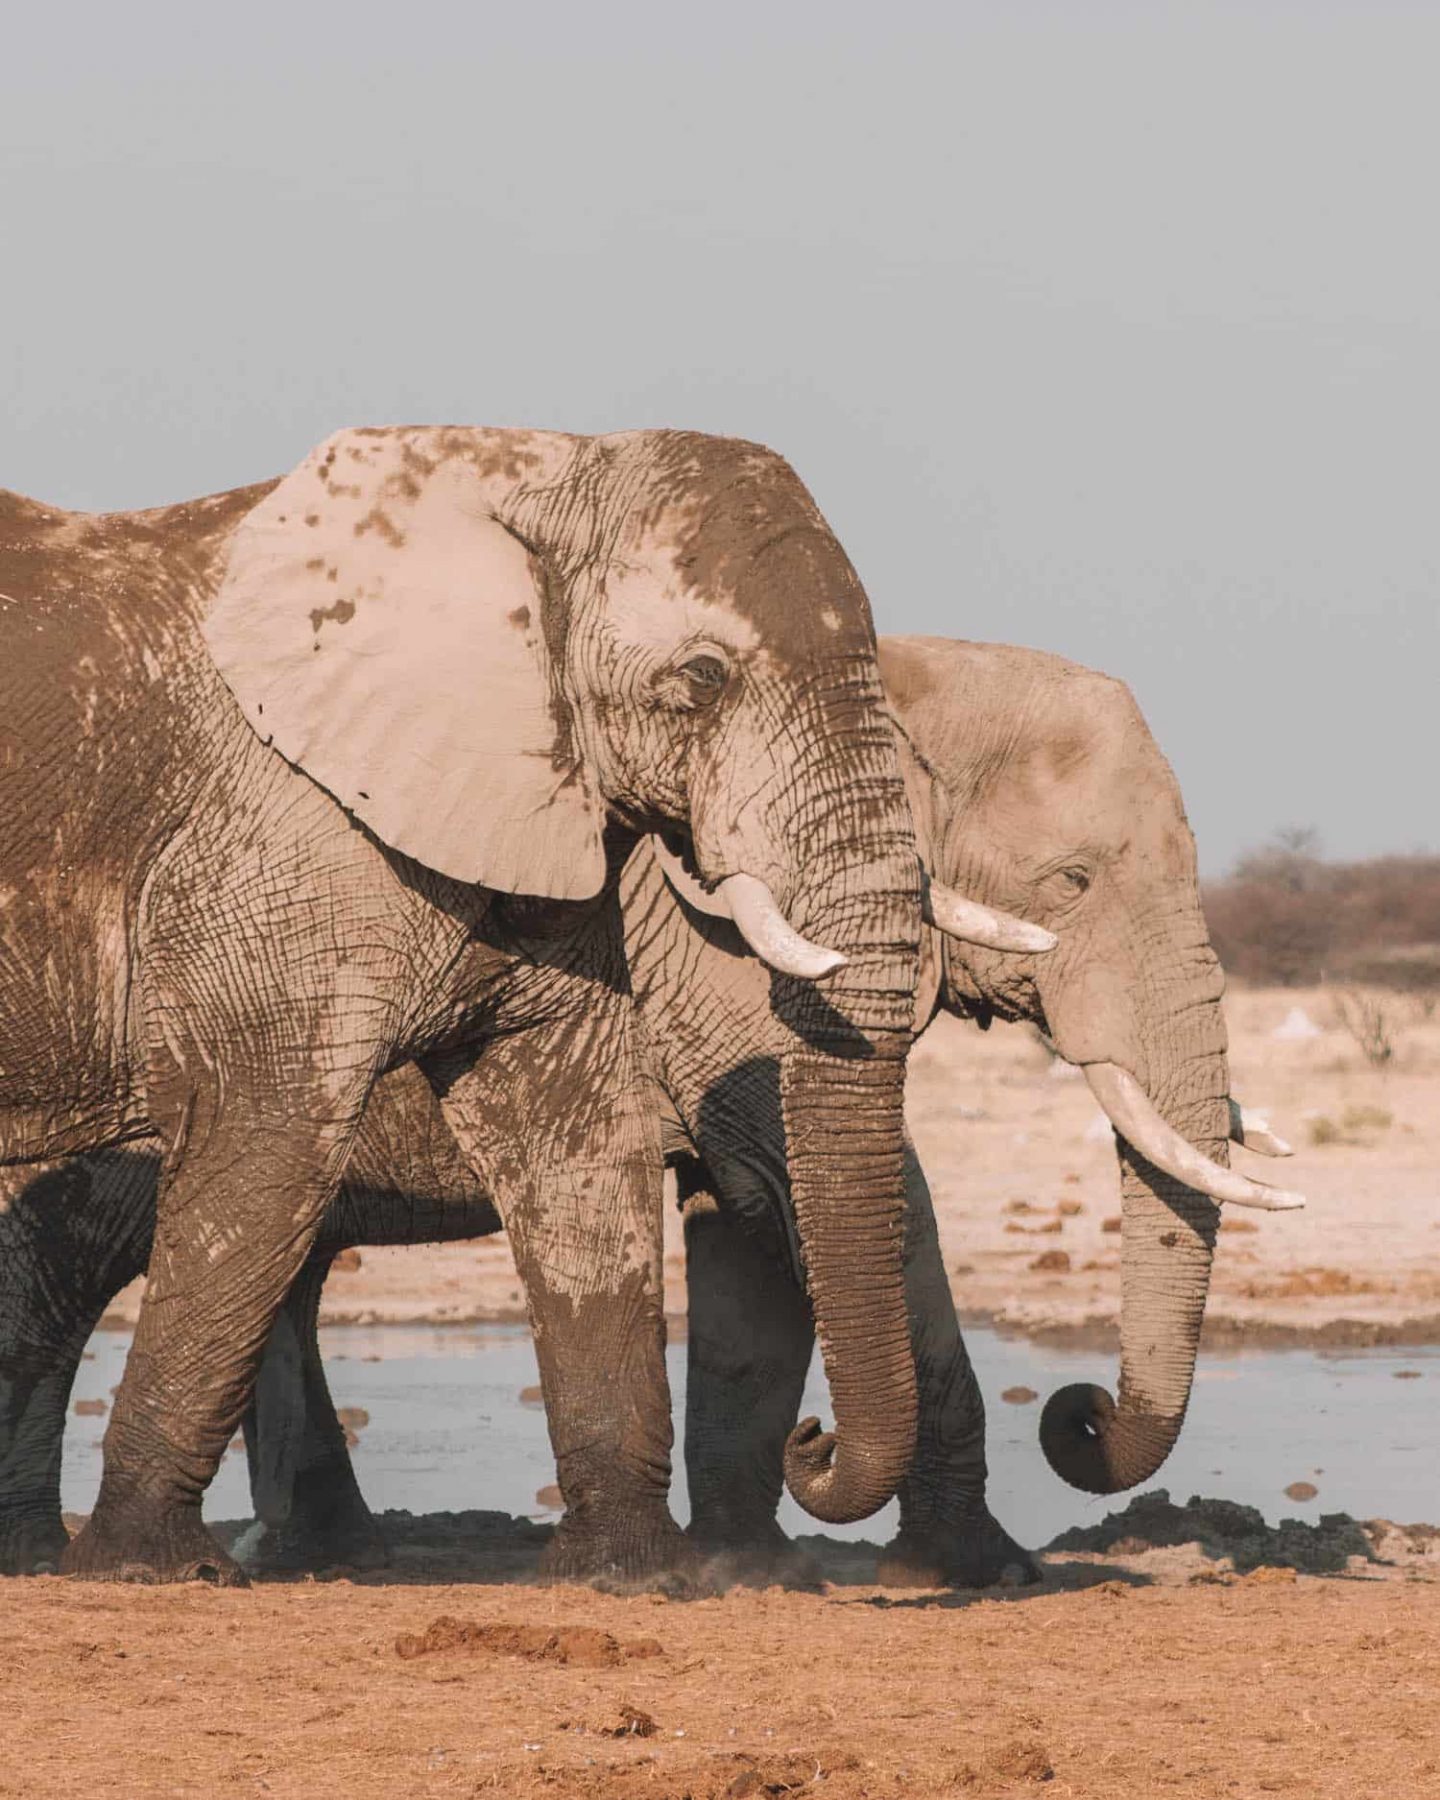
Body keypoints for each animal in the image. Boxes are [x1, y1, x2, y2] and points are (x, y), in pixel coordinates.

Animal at [2, 435, 1044, 1591]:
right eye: (703, 677)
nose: (812, 1440)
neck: (528, 475)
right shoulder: (282, 828)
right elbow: (262, 1121)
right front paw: (149, 1569)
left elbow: (573, 1142)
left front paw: (632, 1576)